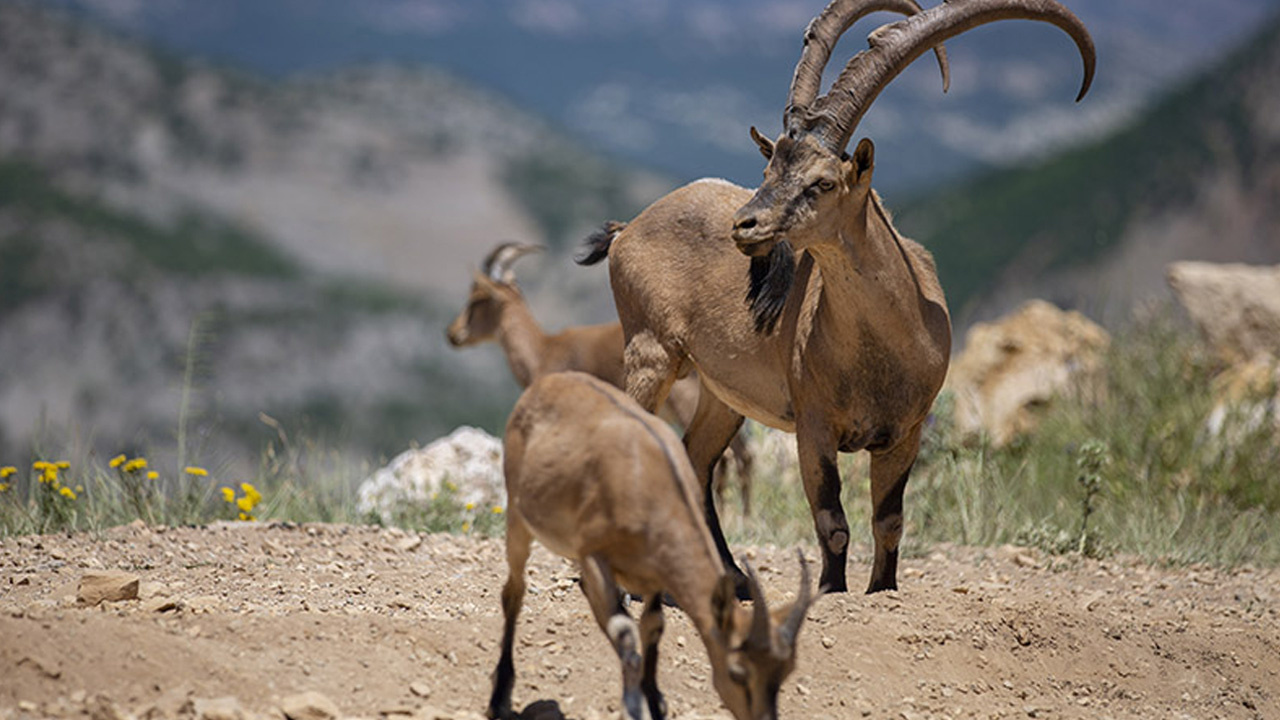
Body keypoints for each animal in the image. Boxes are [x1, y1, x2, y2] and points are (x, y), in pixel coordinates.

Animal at [488, 368, 808, 717]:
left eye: (786, 671)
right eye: (738, 671)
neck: (652, 488)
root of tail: (546, 383)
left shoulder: (656, 573)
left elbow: (652, 629)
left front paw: (654, 701)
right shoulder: (593, 556)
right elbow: (625, 633)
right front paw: (632, 705)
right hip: (517, 517)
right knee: (513, 592)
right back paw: (499, 696)